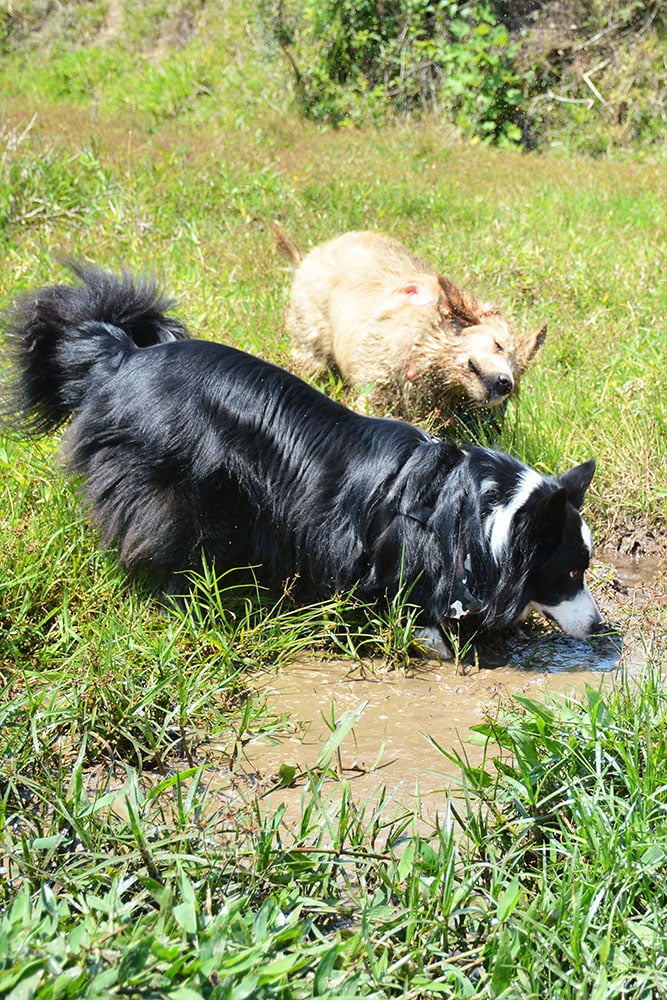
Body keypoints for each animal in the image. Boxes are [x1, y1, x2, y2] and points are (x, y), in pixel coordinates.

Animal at [276, 229, 548, 424]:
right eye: (498, 344)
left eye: (517, 370)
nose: (505, 383)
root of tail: (309, 256)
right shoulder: (378, 387)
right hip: (311, 336)